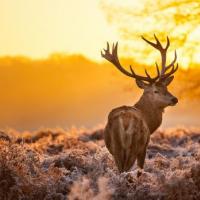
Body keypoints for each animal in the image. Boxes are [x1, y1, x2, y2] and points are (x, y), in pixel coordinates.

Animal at [101, 34, 178, 175]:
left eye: (166, 87)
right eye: (156, 90)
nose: (174, 99)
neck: (149, 122)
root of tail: (125, 121)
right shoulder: (144, 147)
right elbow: (141, 167)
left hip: (116, 148)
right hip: (135, 145)